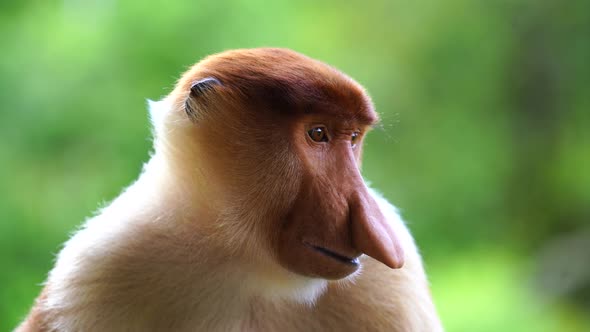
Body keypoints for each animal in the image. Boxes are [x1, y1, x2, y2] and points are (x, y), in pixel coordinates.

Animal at [16, 48, 444, 330]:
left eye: (353, 138)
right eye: (318, 134)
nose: (378, 233)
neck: (241, 261)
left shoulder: (391, 286)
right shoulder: (98, 270)